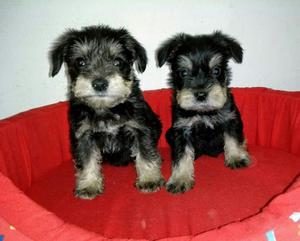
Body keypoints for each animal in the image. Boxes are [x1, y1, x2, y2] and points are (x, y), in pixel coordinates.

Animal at [50, 25, 165, 200]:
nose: (99, 83)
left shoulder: (140, 129)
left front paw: (149, 180)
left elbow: (146, 153)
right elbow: (87, 160)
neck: (106, 108)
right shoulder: (84, 135)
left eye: (117, 61)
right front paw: (88, 186)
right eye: (80, 62)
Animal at [157, 31, 251, 194]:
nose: (201, 95)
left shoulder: (230, 119)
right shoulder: (182, 130)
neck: (204, 112)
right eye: (183, 72)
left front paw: (236, 157)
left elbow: (232, 138)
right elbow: (182, 155)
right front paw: (180, 179)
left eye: (216, 70)